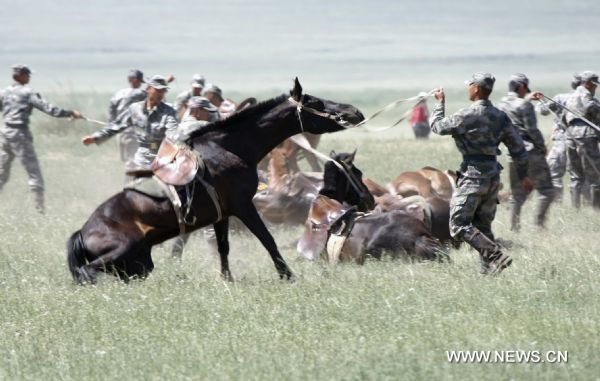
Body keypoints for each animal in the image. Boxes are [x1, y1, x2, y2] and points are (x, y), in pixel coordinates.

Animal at [68, 78, 364, 282]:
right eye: (315, 103)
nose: (355, 112)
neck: (230, 149)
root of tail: (83, 233)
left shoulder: (222, 214)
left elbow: (223, 247)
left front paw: (227, 279)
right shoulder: (243, 206)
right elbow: (267, 239)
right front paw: (288, 275)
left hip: (141, 263)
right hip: (126, 248)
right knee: (87, 271)